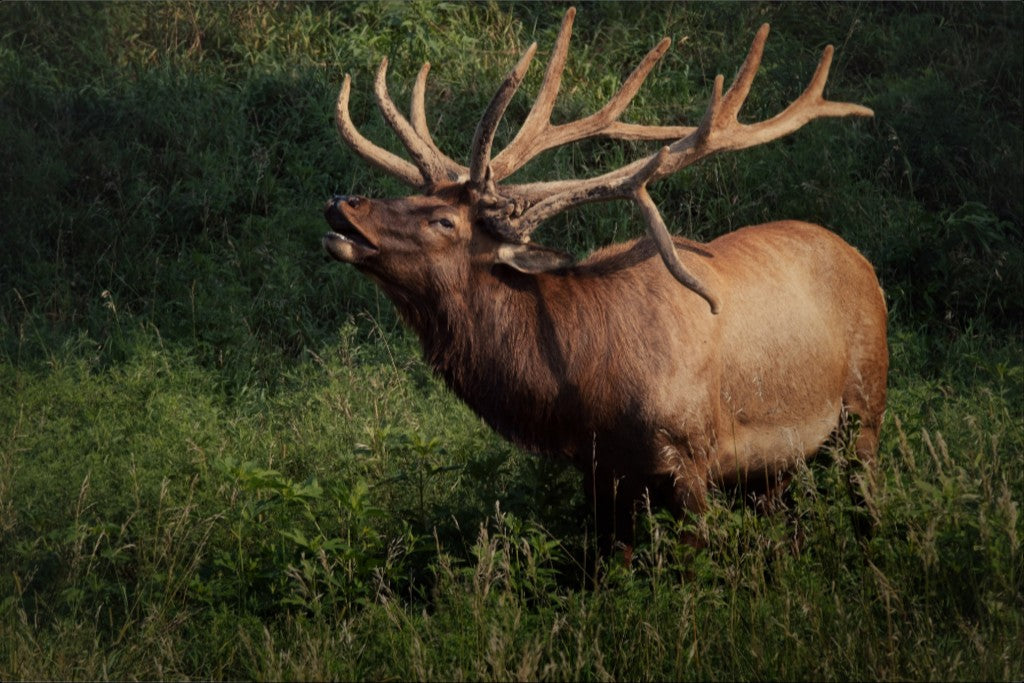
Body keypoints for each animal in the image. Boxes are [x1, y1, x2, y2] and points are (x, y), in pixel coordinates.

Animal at [321, 7, 888, 557]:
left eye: (444, 220)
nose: (341, 203)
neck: (583, 383)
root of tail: (862, 260)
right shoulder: (600, 471)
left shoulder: (692, 456)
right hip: (776, 464)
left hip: (865, 406)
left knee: (866, 500)